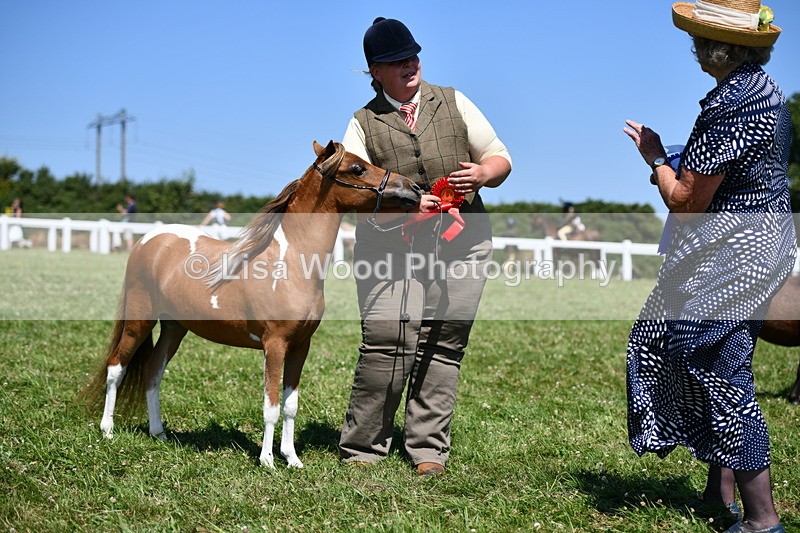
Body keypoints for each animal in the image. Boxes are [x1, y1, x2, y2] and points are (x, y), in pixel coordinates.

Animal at [78, 141, 422, 468]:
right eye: (357, 168)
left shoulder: (301, 346)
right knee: (116, 367)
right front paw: (267, 460)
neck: (290, 263)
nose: (414, 189)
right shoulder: (275, 345)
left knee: (152, 371)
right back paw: (107, 430)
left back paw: (158, 432)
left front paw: (292, 459)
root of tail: (148, 240)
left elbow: (290, 405)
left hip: (175, 328)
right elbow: (271, 406)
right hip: (139, 321)